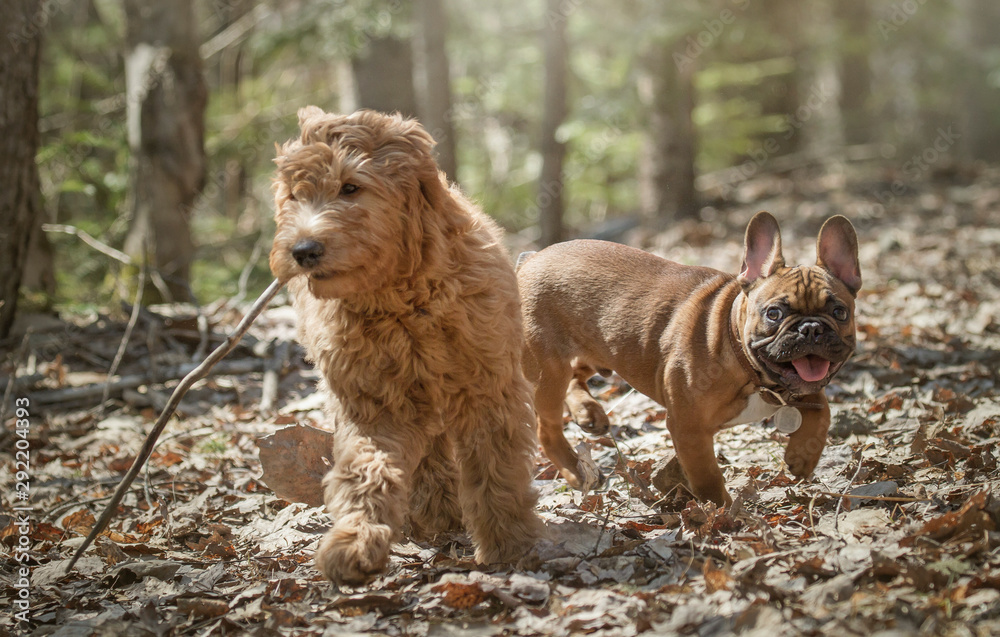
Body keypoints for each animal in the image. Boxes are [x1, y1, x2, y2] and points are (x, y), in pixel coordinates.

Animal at [270, 107, 544, 584]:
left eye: (350, 187)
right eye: (293, 195)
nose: (303, 250)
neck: (399, 299)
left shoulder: (487, 387)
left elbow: (495, 464)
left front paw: (509, 543)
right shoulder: (372, 402)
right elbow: (365, 470)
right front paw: (357, 540)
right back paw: (434, 511)